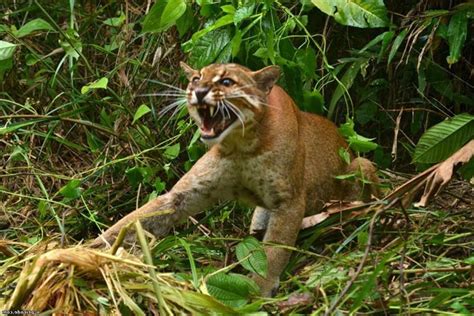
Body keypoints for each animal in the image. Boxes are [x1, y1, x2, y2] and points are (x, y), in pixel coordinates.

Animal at [93, 62, 378, 296]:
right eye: (196, 78)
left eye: (227, 81)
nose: (199, 91)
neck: (241, 146)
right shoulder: (185, 194)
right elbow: (135, 219)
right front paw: (91, 250)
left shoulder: (289, 202)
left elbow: (275, 250)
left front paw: (259, 289)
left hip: (360, 165)